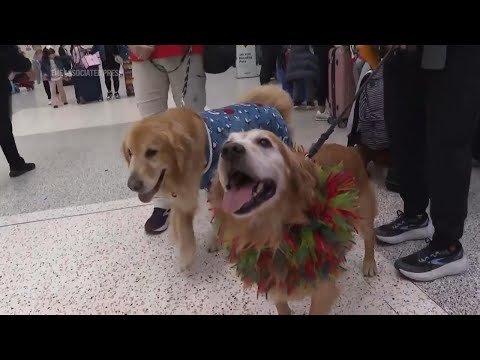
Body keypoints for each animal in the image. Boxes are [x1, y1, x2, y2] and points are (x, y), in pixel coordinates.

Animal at [122, 86, 294, 268]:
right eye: (130, 153)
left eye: (151, 152)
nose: (132, 185)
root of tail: (272, 106)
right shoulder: (185, 194)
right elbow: (185, 227)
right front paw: (186, 255)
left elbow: (220, 218)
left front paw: (216, 241)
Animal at [210, 131, 378, 314]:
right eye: (227, 142)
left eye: (264, 142)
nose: (229, 150)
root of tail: (350, 149)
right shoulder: (273, 284)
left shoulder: (323, 291)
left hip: (363, 214)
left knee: (370, 237)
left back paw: (369, 263)